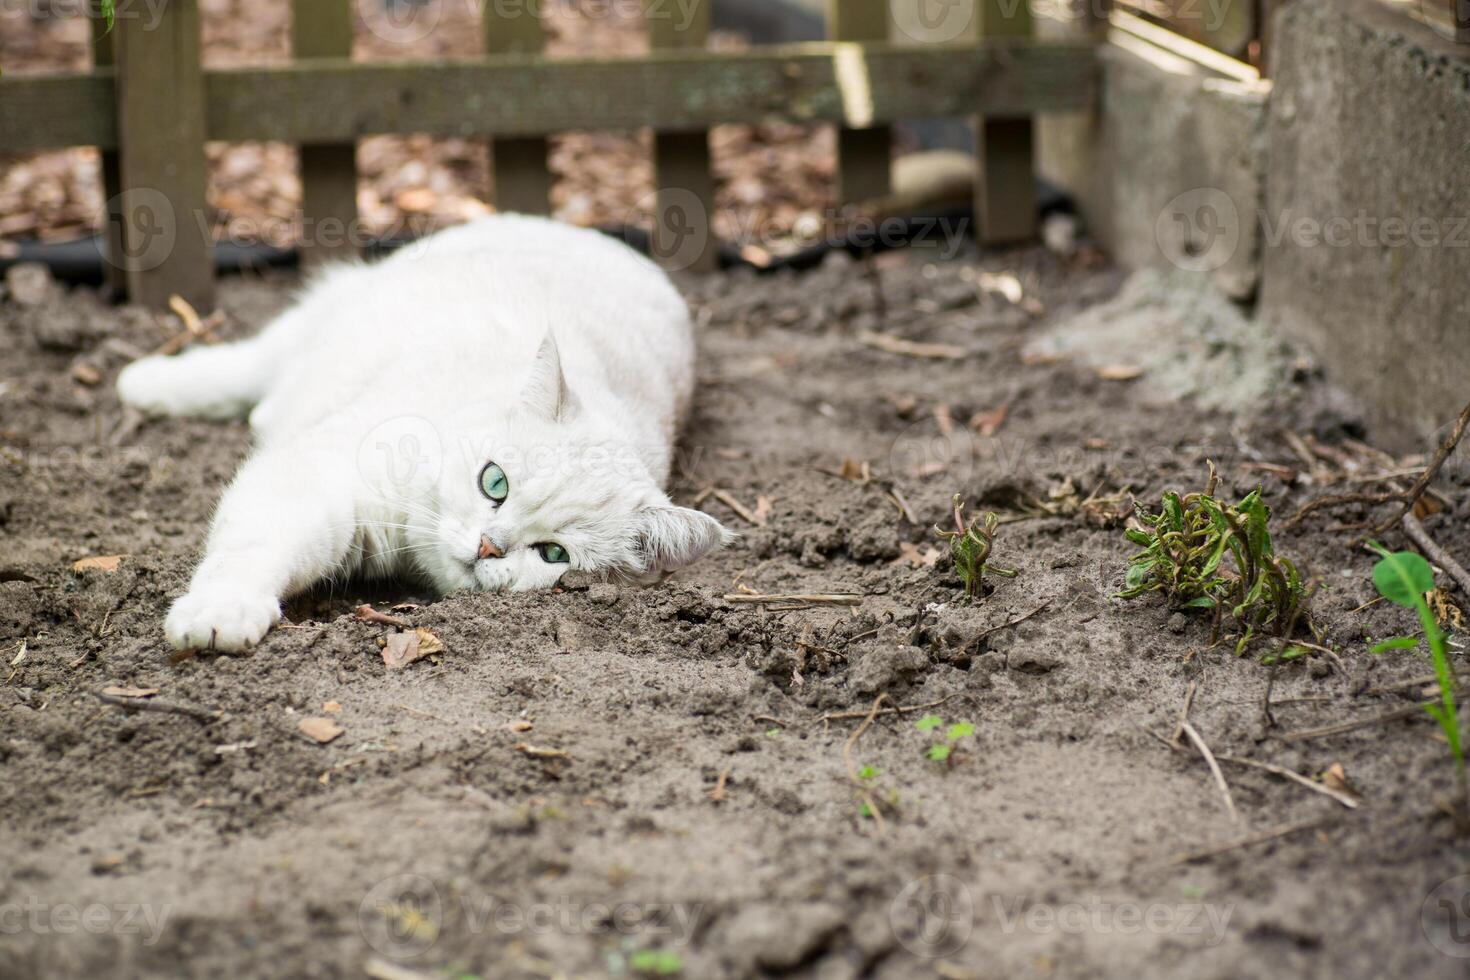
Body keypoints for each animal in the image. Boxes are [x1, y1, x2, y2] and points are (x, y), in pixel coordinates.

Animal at [117, 218, 735, 655]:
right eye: (494, 482)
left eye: (554, 554)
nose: (490, 546)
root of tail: (599, 234)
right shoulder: (317, 473)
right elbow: (254, 545)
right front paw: (221, 611)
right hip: (333, 307)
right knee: (251, 365)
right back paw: (147, 383)